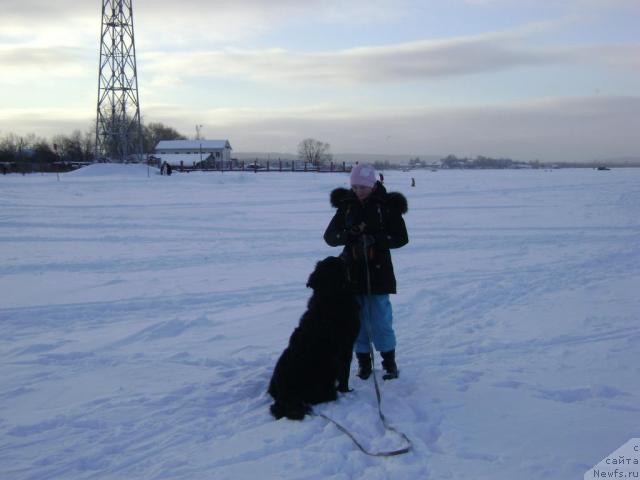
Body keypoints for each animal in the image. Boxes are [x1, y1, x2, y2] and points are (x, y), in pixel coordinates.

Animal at [268, 255, 362, 420]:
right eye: (340, 263)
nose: (346, 255)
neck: (332, 299)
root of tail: (285, 395)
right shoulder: (346, 346)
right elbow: (345, 372)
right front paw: (346, 390)